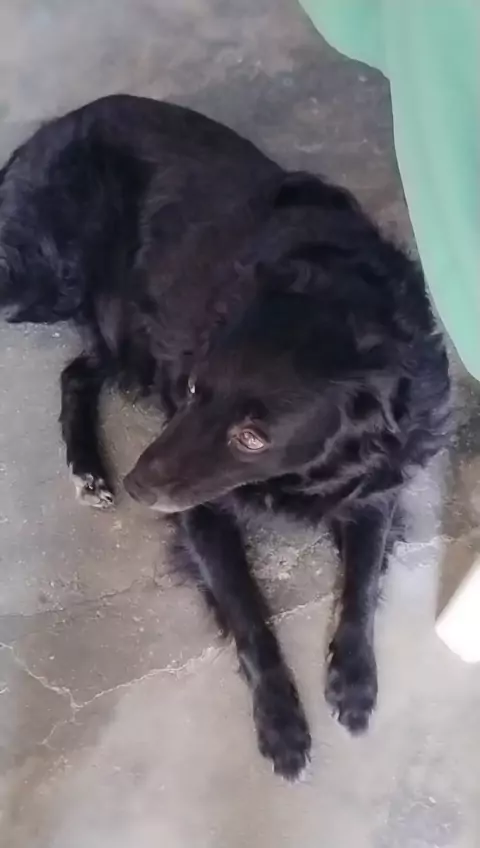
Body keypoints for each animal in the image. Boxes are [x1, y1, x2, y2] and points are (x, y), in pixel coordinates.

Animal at [0, 95, 450, 780]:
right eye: (192, 390)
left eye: (252, 437)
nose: (137, 485)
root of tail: (59, 125)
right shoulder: (200, 508)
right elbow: (248, 612)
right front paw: (282, 723)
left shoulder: (376, 486)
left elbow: (362, 581)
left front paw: (353, 679)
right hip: (44, 282)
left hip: (120, 330)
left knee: (75, 372)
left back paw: (89, 469)